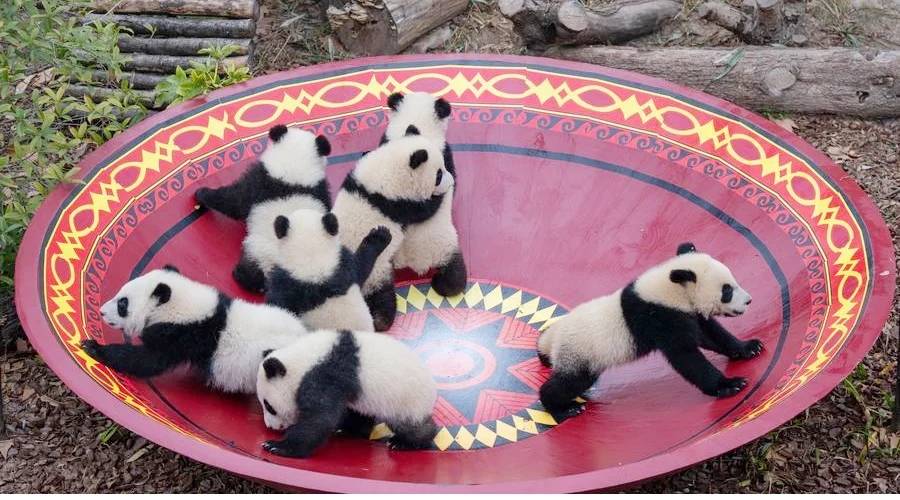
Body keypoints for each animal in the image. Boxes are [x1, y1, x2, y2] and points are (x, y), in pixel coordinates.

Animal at [194, 124, 332, 293]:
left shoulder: (257, 183)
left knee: (252, 272)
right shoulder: (321, 192)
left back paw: (240, 275)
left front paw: (201, 194)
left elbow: (232, 200)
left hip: (259, 251)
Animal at [256, 329, 437, 458]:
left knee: (409, 425)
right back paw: (348, 431)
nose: (271, 427)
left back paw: (406, 443)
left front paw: (276, 446)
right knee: (361, 413)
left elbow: (320, 418)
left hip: (405, 399)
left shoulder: (326, 375)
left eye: (269, 406)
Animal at [332, 135, 459, 331]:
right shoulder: (397, 205)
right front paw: (438, 196)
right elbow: (425, 211)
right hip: (376, 273)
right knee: (383, 297)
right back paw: (382, 320)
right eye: (438, 175)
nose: (450, 179)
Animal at [537, 242, 763, 415]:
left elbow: (710, 334)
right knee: (571, 382)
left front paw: (749, 347)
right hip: (581, 352)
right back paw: (562, 407)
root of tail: (554, 337)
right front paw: (729, 385)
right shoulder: (659, 317)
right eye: (727, 290)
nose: (749, 301)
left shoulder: (684, 312)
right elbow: (686, 356)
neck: (671, 288)